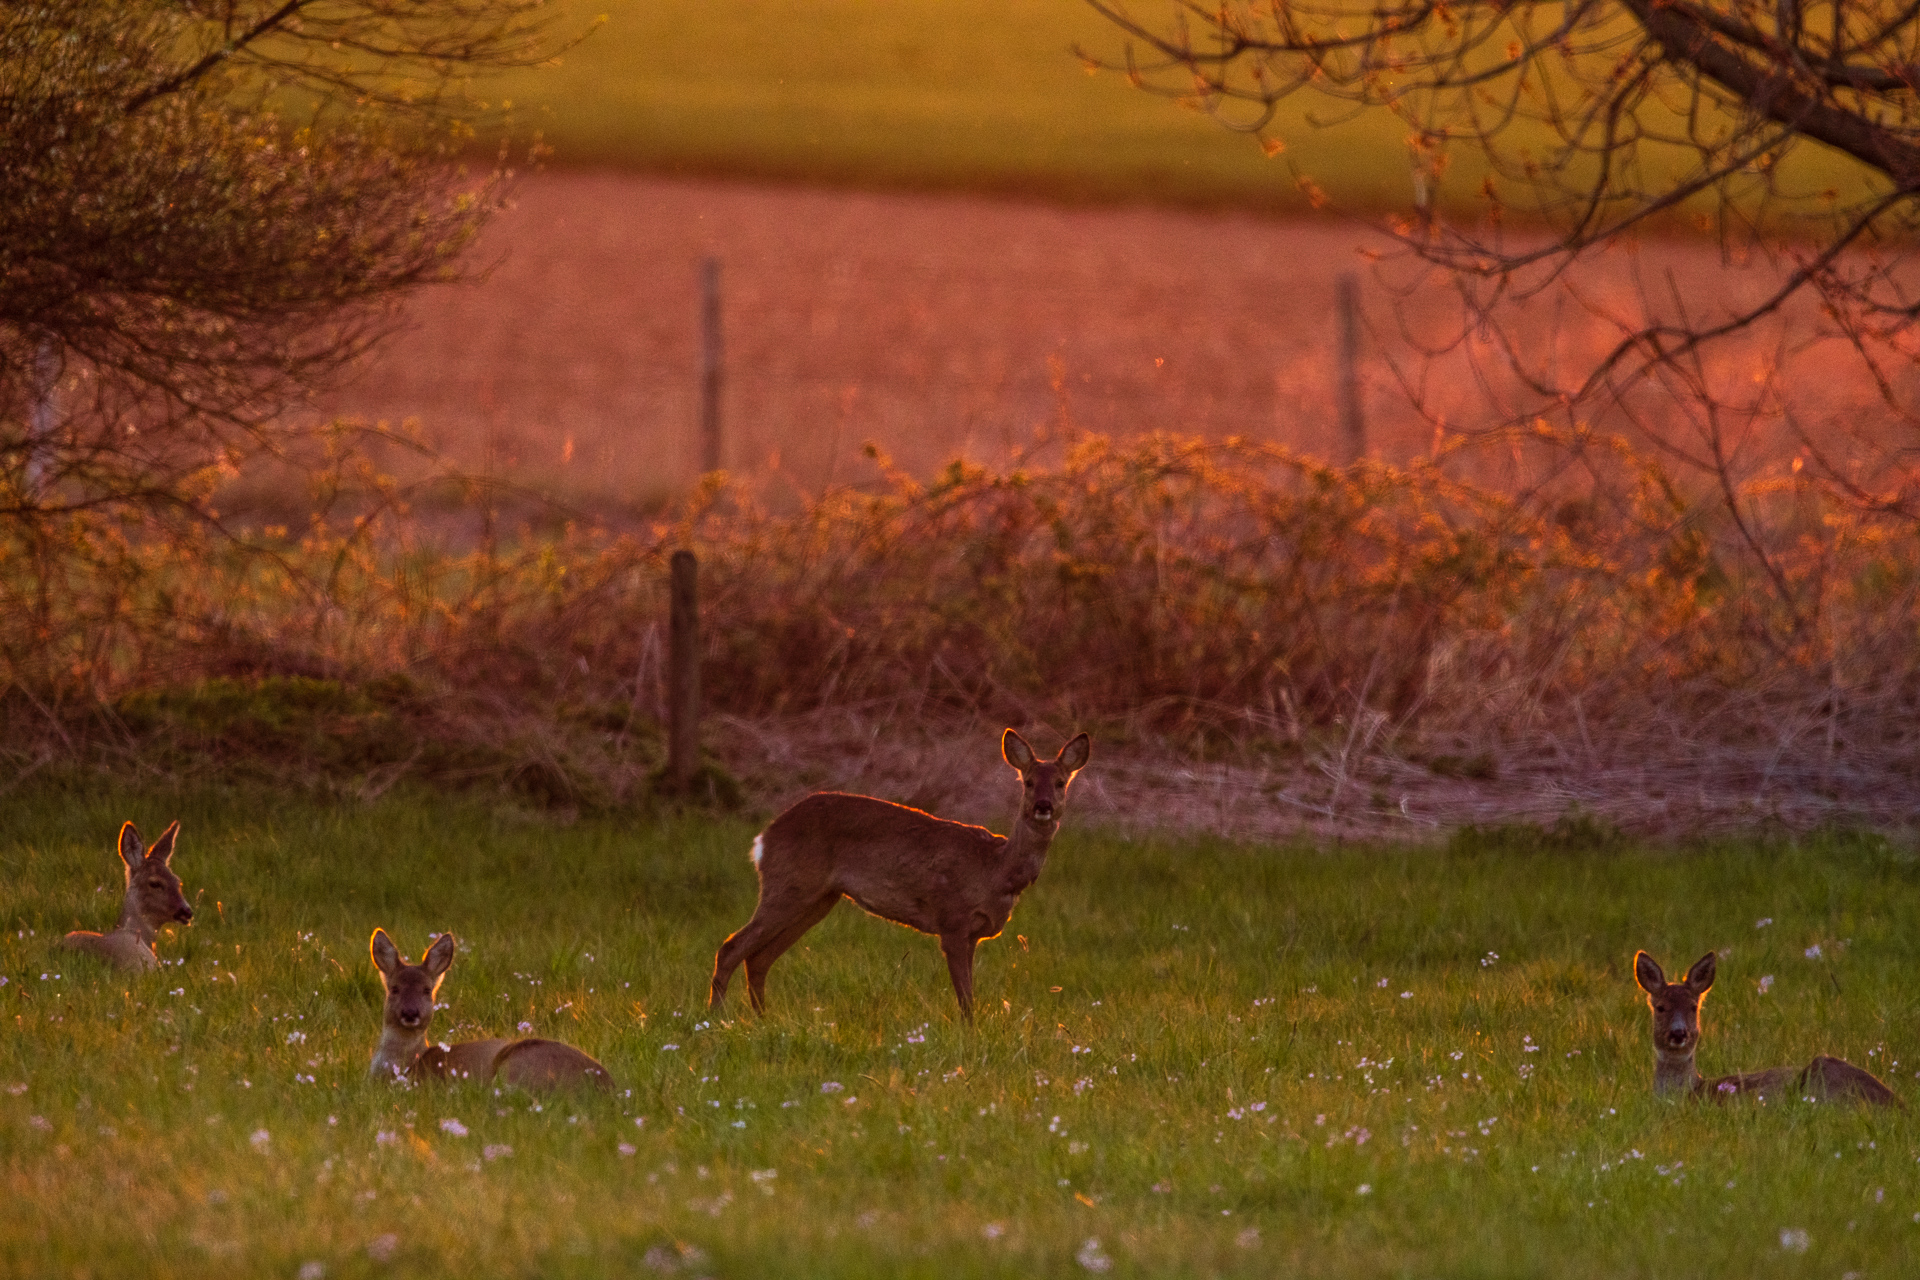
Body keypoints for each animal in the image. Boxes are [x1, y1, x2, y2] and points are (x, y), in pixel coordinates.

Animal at [368, 924, 614, 1097]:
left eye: (427, 990)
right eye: (394, 988)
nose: (410, 1013)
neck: (408, 1064)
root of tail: (608, 1087)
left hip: (518, 1066)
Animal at [706, 729, 1098, 1020]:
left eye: (1061, 782)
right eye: (1028, 782)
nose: (1043, 806)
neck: (995, 871)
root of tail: (764, 837)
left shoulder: (972, 933)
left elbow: (970, 993)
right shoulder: (952, 919)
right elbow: (965, 998)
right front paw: (970, 1032)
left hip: (817, 899)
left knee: (758, 958)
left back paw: (762, 1020)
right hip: (790, 885)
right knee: (731, 947)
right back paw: (716, 1020)